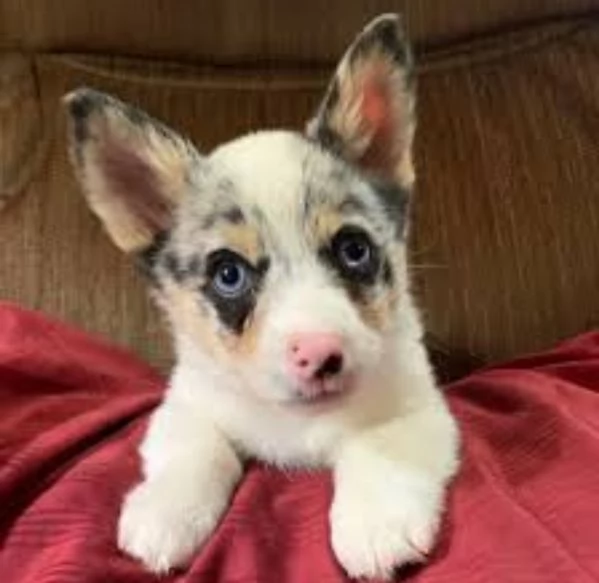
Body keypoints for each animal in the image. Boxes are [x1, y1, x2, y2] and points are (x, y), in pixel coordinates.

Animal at [64, 12, 460, 580]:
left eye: (354, 249)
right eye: (228, 274)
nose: (320, 355)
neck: (297, 422)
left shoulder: (419, 408)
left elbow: (376, 444)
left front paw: (375, 524)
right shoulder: (186, 404)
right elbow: (199, 448)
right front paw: (165, 512)